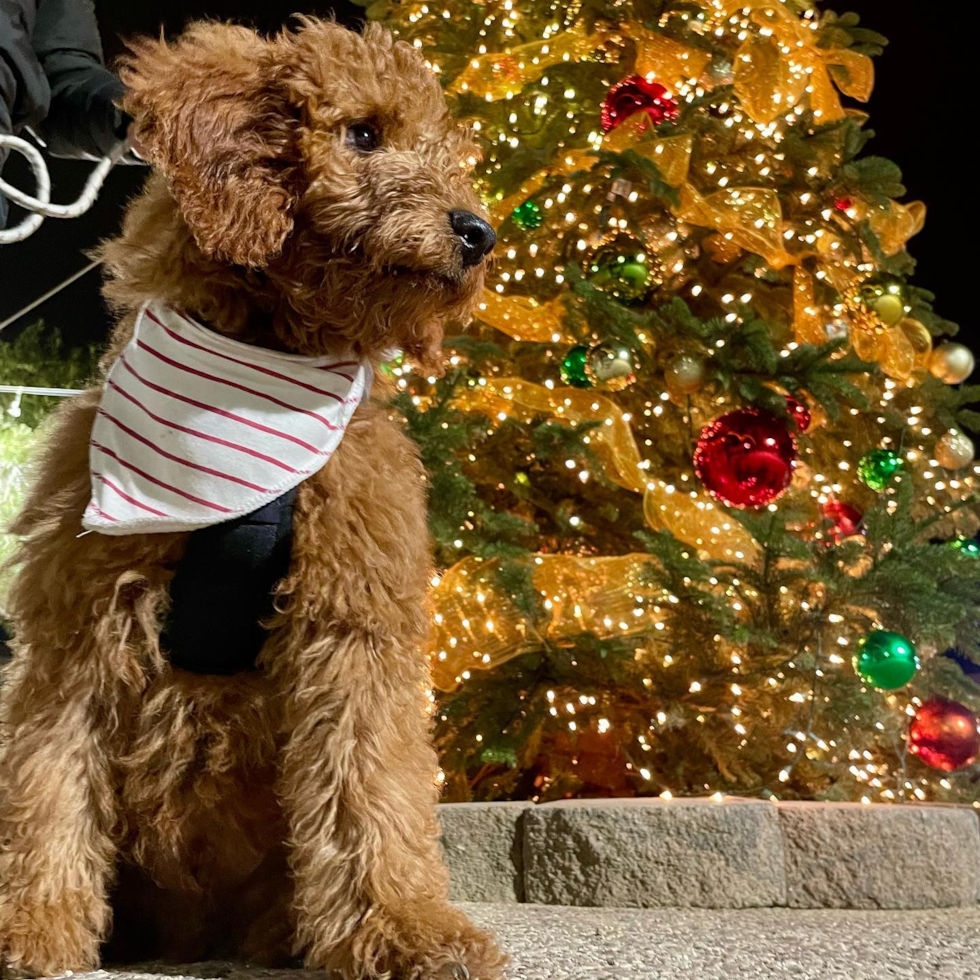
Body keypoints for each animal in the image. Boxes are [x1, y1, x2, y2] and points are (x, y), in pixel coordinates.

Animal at [0, 17, 502, 980]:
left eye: (443, 144)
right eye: (363, 133)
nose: (478, 233)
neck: (263, 362)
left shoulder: (354, 621)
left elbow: (368, 785)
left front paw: (404, 929)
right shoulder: (76, 625)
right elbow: (47, 786)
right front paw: (30, 924)